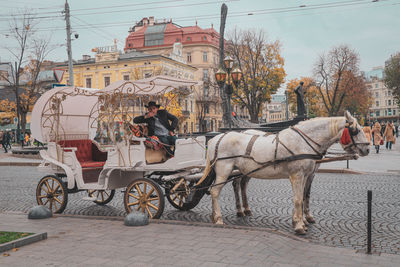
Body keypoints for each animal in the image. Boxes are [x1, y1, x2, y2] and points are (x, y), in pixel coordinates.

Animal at [198, 111, 370, 234]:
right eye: (356, 130)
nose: (367, 149)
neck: (303, 142)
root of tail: (216, 139)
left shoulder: (307, 175)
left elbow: (304, 196)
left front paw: (302, 220)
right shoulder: (297, 176)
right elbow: (298, 199)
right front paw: (299, 225)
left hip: (242, 170)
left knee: (235, 186)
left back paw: (227, 213)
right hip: (224, 170)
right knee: (215, 192)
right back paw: (219, 218)